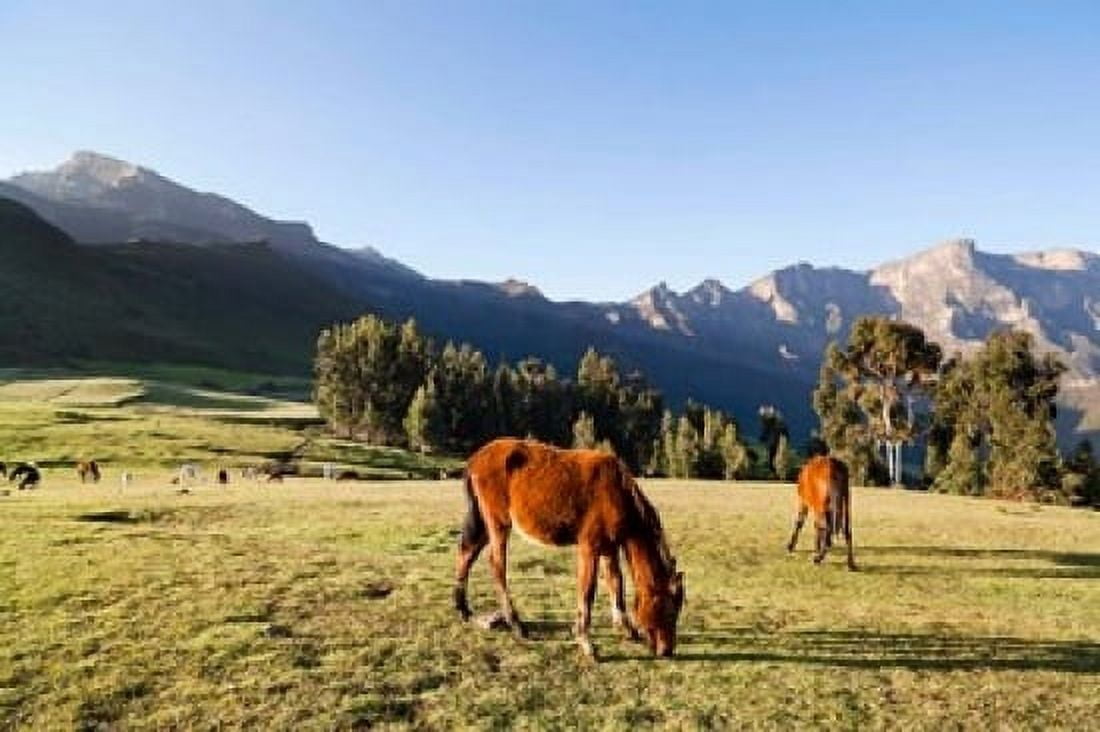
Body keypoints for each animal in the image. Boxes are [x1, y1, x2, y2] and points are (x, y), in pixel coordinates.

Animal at [454, 437, 685, 659]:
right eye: (670, 611)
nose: (667, 650)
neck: (617, 491)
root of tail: (476, 459)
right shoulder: (589, 546)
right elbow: (588, 590)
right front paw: (585, 641)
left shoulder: (609, 548)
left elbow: (616, 584)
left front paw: (627, 629)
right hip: (498, 523)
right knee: (497, 565)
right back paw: (516, 624)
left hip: (483, 523)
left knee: (467, 553)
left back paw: (464, 610)